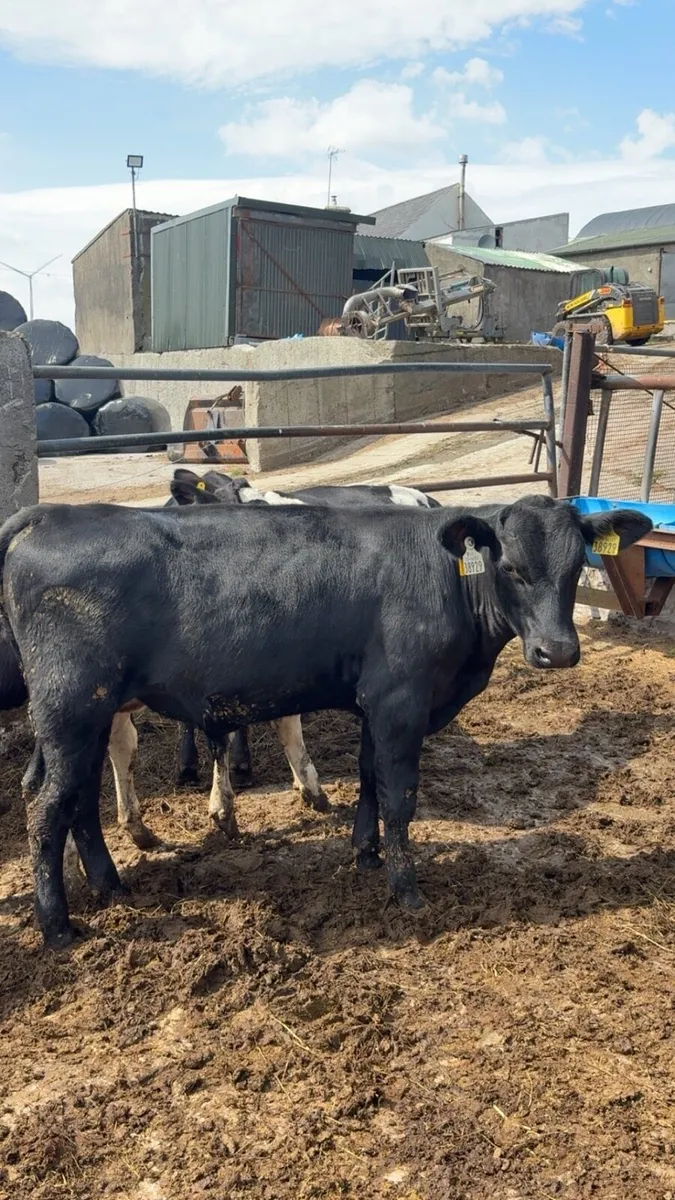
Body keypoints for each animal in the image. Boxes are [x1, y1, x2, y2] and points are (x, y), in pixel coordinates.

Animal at [0, 494, 651, 949]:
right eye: (511, 567)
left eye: (578, 566)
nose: (557, 652)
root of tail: (50, 514)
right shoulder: (401, 702)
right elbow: (399, 796)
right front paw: (406, 890)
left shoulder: (376, 704)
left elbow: (368, 780)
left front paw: (365, 857)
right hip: (73, 707)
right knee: (46, 810)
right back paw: (58, 928)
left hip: (87, 717)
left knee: (78, 802)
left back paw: (110, 885)